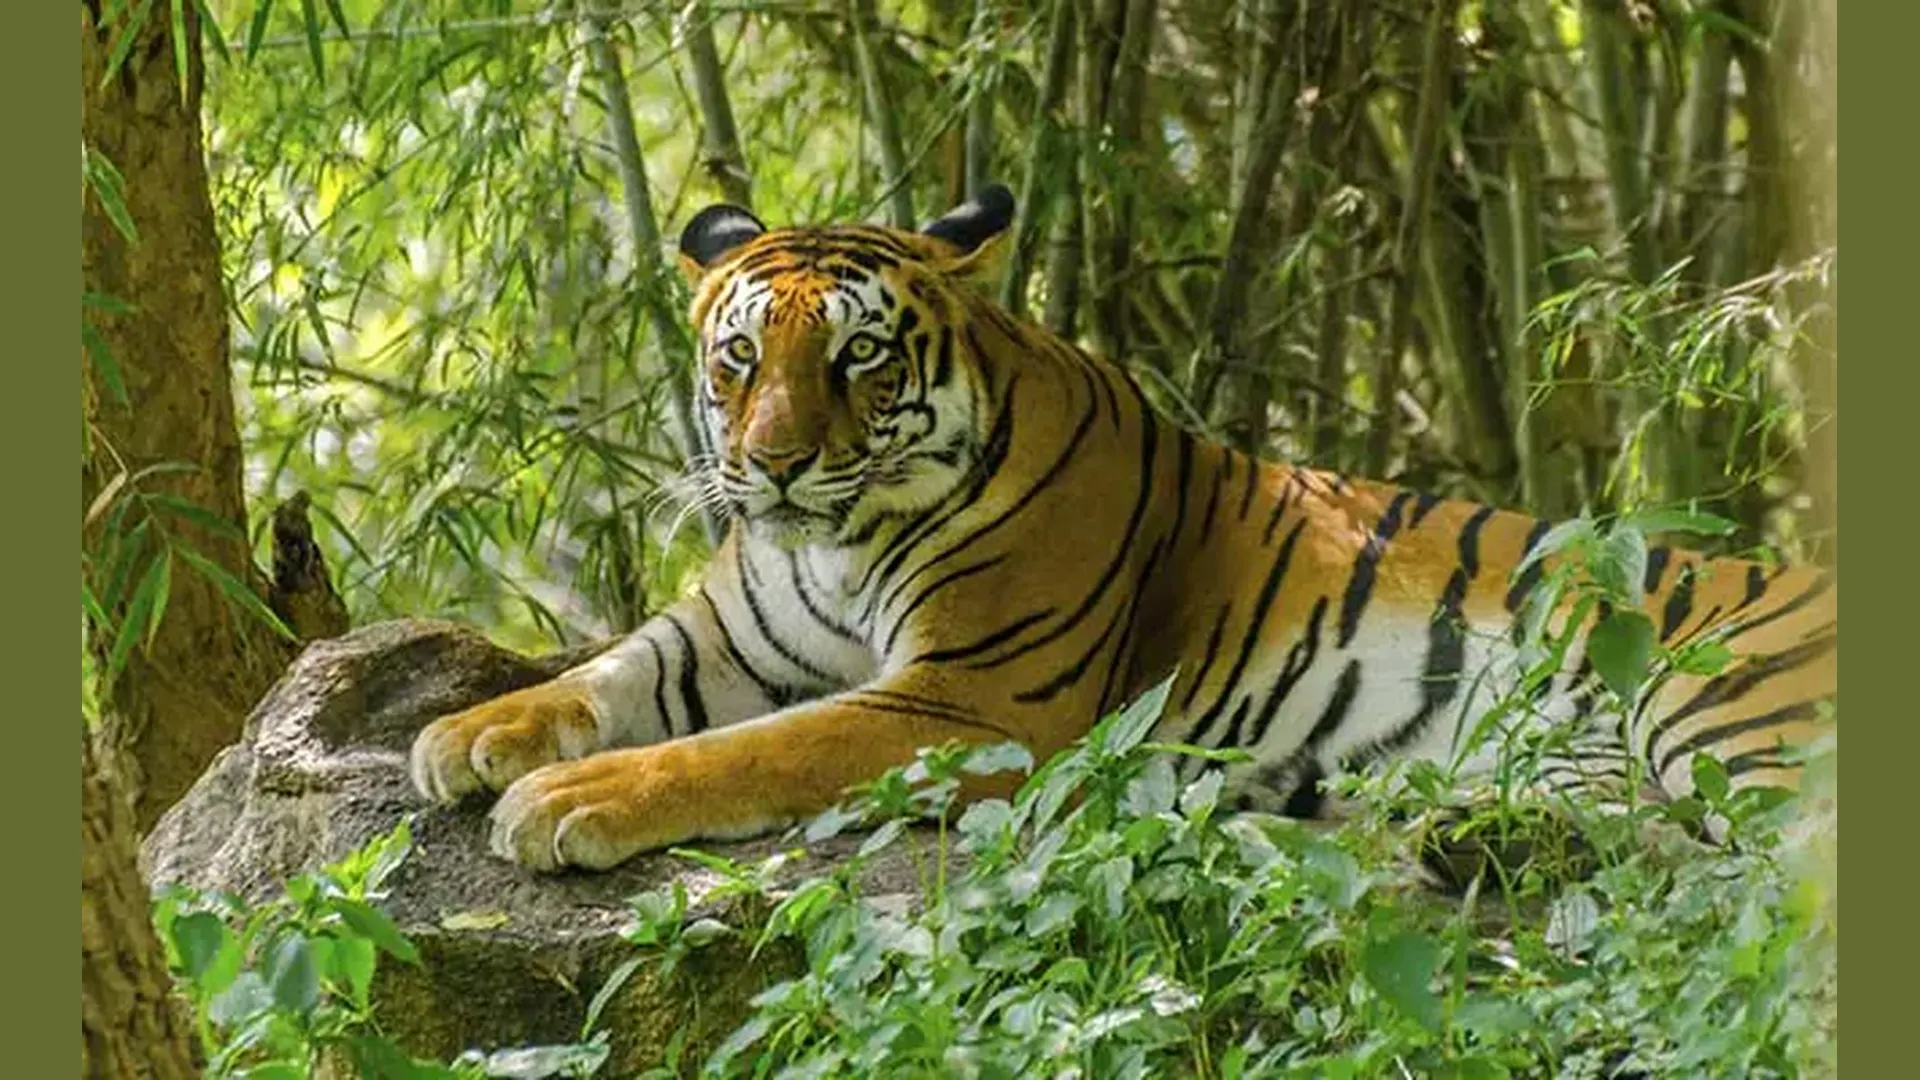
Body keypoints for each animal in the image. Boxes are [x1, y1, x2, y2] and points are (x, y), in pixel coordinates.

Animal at [409, 184, 1837, 873]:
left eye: (860, 354)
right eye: (740, 357)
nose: (772, 465)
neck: (836, 537)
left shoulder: (970, 701)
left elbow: (748, 751)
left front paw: (564, 799)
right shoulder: (725, 635)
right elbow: (602, 675)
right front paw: (465, 736)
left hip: (1721, 707)